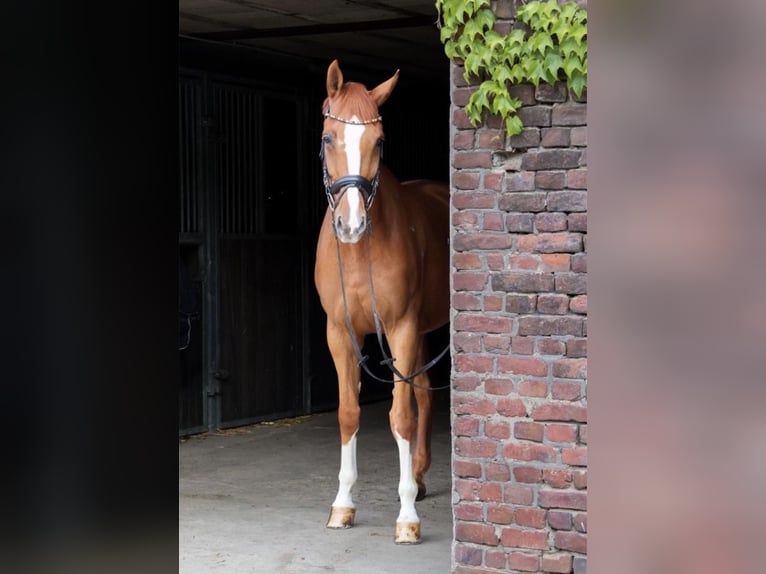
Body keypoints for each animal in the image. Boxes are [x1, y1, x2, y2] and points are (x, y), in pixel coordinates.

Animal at [314, 60, 449, 545]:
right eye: (328, 138)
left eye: (379, 141)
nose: (351, 225)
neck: (359, 253)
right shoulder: (339, 334)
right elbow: (348, 413)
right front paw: (342, 505)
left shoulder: (401, 326)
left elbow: (400, 417)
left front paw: (407, 516)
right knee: (425, 391)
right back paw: (421, 477)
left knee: (419, 398)